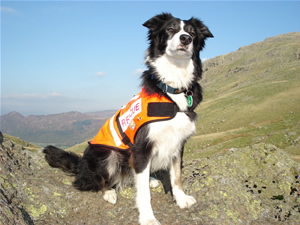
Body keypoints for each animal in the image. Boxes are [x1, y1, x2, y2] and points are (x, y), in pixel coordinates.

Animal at [43, 12, 213, 225]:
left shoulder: (178, 142)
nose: (186, 39)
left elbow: (176, 176)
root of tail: (81, 166)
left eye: (192, 33)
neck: (172, 88)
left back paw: (149, 179)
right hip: (107, 155)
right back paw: (109, 192)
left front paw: (181, 199)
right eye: (170, 29)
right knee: (99, 181)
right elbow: (144, 194)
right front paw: (148, 217)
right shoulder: (142, 147)